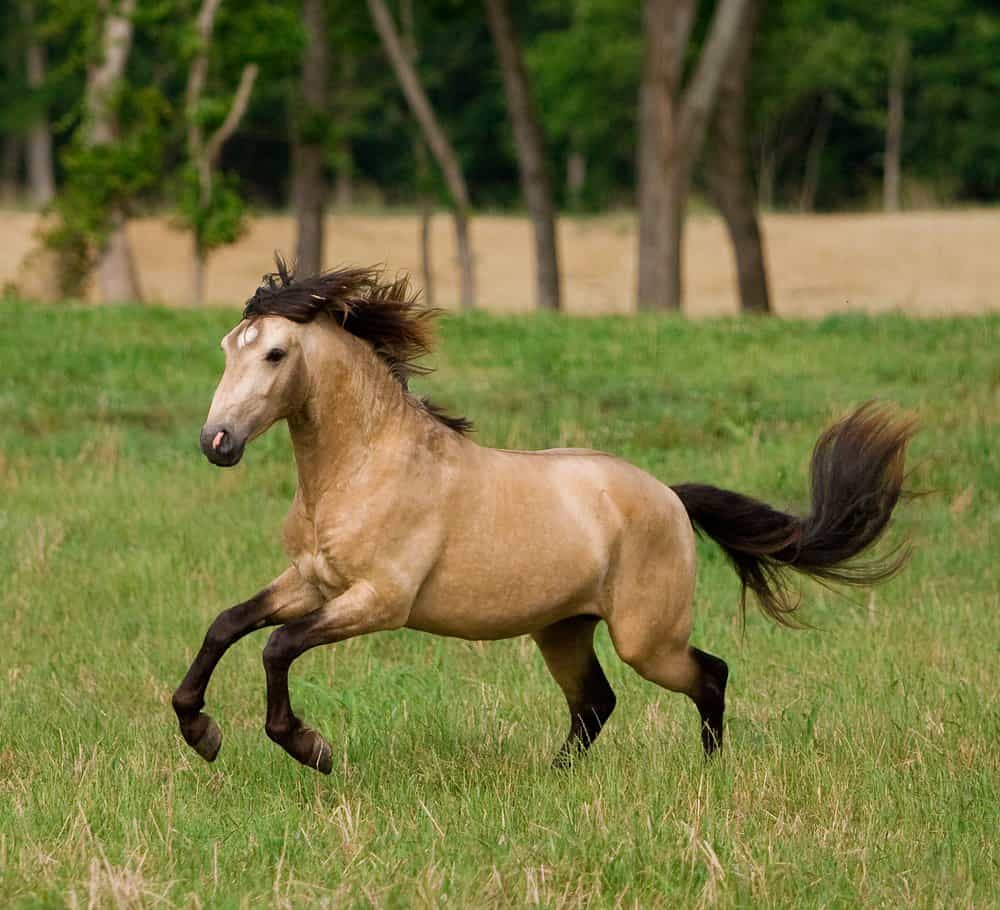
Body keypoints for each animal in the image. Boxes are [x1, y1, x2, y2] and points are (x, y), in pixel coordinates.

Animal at [172, 258, 916, 776]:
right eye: (227, 346)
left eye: (274, 353)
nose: (216, 442)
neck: (365, 467)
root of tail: (670, 496)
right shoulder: (310, 581)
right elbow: (227, 625)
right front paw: (199, 731)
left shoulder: (378, 600)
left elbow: (277, 645)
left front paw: (310, 747)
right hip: (563, 629)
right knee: (595, 703)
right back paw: (555, 775)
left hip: (646, 638)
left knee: (708, 676)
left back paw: (708, 771)